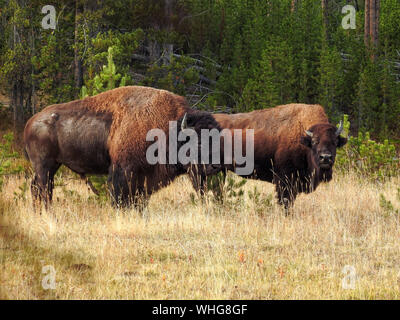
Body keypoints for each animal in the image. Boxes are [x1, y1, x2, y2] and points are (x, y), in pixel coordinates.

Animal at [24, 86, 222, 209]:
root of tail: (30, 122)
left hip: (52, 166)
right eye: (198, 142)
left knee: (36, 188)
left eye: (218, 140)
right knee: (44, 189)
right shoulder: (123, 171)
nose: (215, 166)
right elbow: (120, 197)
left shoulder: (144, 178)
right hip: (45, 165)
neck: (168, 129)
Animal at [191, 104, 346, 209]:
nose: (325, 158)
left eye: (334, 142)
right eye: (314, 142)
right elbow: (285, 201)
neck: (303, 138)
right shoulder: (284, 180)